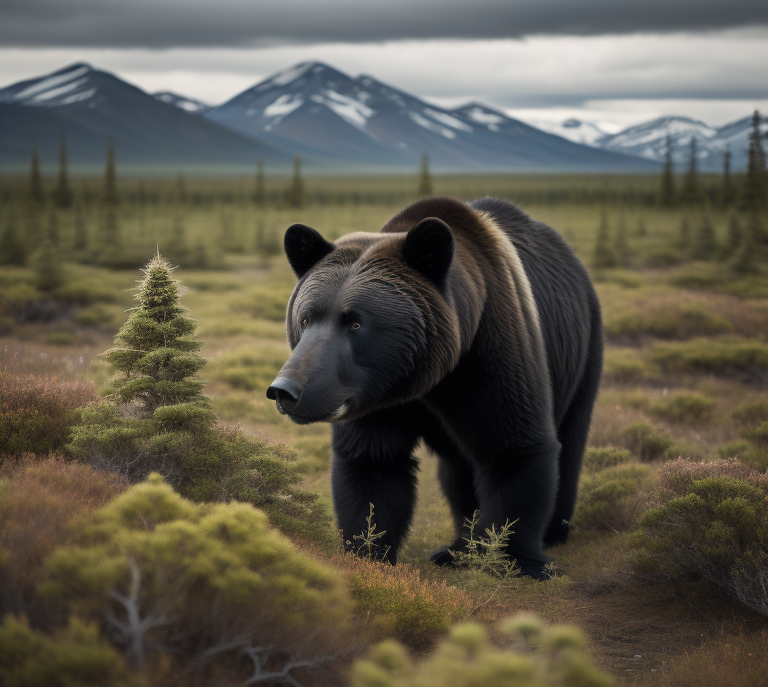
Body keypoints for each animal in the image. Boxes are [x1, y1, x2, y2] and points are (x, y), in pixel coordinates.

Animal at [267, 196, 603, 579]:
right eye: (305, 317)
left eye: (355, 322)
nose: (286, 389)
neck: (422, 380)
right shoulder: (372, 399)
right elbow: (373, 466)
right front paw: (368, 552)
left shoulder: (489, 358)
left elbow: (513, 448)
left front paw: (513, 560)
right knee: (458, 471)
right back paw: (456, 547)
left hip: (582, 352)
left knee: (570, 440)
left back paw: (552, 532)